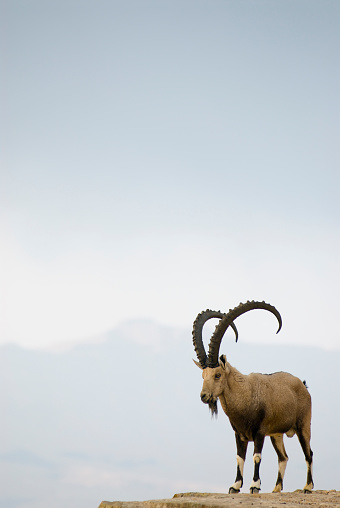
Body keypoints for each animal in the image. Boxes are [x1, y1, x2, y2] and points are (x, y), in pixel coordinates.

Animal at [193, 300, 314, 494]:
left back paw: (308, 486)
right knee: (283, 457)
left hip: (303, 425)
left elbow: (256, 456)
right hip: (276, 434)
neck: (245, 396)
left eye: (217, 375)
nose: (204, 396)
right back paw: (276, 488)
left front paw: (254, 485)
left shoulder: (259, 432)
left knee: (308, 453)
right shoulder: (239, 434)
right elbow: (239, 457)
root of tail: (302, 385)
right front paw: (235, 486)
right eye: (203, 375)